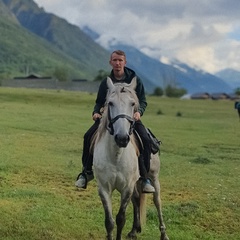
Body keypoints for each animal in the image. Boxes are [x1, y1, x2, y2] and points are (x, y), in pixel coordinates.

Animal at [92, 77, 169, 240]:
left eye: (132, 103)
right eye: (110, 103)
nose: (122, 138)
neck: (116, 155)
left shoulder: (126, 188)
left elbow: (121, 219)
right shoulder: (104, 189)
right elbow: (109, 222)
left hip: (153, 178)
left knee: (157, 201)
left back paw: (163, 234)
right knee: (137, 199)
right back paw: (134, 230)